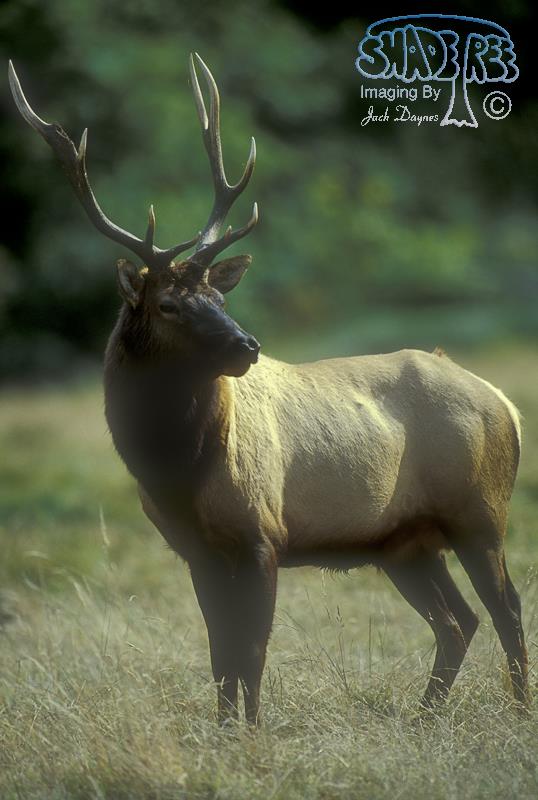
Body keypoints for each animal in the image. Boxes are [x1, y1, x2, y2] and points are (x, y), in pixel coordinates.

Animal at [9, 54, 529, 725]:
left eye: (220, 296)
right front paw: (225, 728)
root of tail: (506, 404)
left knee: (506, 607)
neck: (178, 472)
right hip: (404, 542)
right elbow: (219, 650)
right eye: (170, 304)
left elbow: (251, 647)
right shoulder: (196, 549)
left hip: (480, 509)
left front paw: (250, 731)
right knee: (458, 620)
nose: (247, 346)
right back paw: (426, 715)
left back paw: (518, 711)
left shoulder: (263, 530)